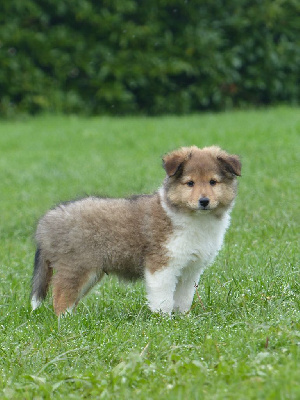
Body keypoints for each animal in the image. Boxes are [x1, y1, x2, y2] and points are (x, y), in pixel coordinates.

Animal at [30, 145, 241, 316]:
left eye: (213, 182)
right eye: (190, 183)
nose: (204, 201)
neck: (194, 219)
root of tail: (46, 220)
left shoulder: (189, 270)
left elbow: (183, 299)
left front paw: (183, 319)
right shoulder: (162, 265)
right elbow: (163, 299)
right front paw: (164, 321)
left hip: (90, 273)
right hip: (76, 267)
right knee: (61, 296)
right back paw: (65, 322)